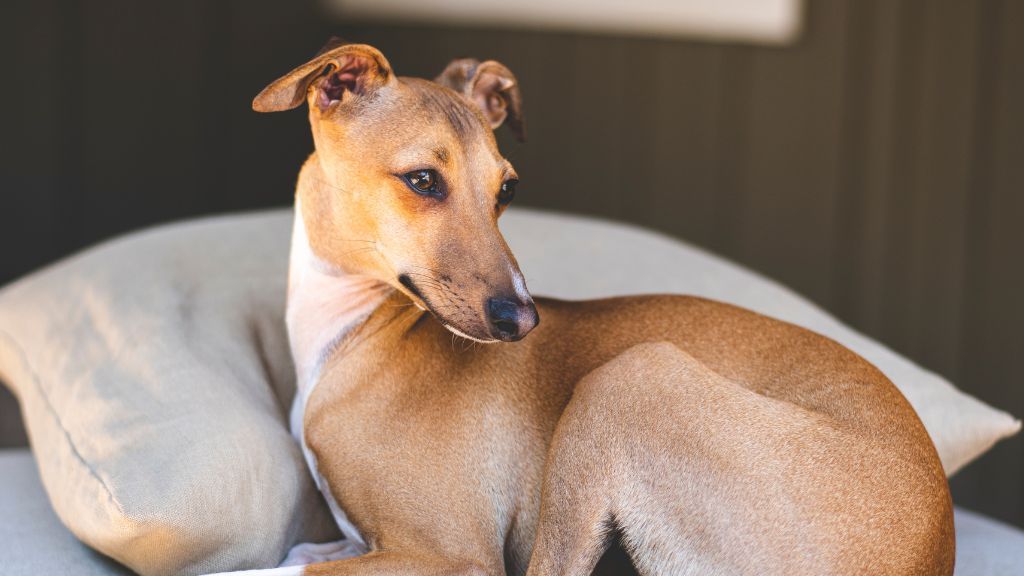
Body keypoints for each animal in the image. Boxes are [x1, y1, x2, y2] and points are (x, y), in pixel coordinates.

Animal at [243, 38, 954, 569]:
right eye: (421, 179)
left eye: (505, 190)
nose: (524, 321)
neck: (346, 331)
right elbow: (301, 551)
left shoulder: (448, 556)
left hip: (626, 381)